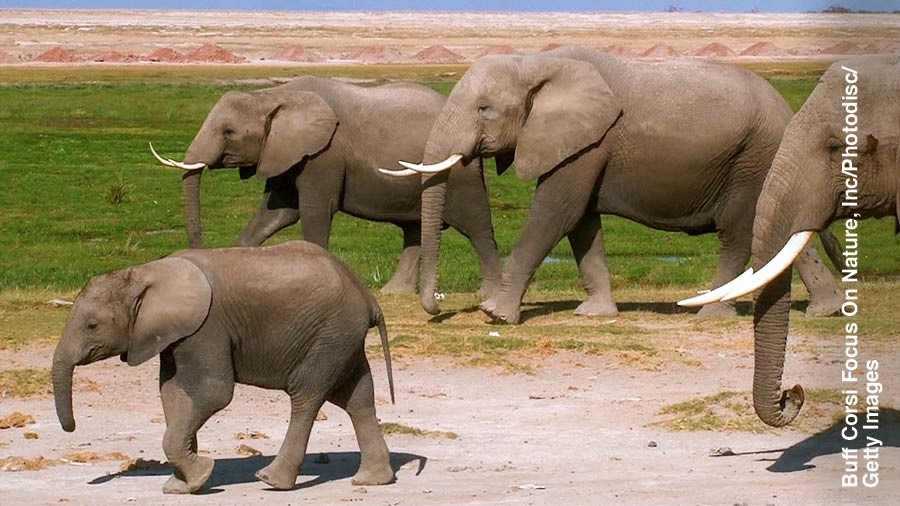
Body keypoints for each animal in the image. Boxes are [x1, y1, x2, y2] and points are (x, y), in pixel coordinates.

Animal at [52, 241, 396, 493]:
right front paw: (184, 486)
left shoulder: (207, 328)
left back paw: (272, 481)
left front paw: (200, 475)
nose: (71, 427)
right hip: (341, 338)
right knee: (357, 398)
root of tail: (367, 296)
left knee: (305, 395)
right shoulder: (175, 335)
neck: (147, 271)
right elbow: (171, 393)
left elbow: (211, 393)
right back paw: (372, 480)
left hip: (330, 334)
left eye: (92, 325)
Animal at [150, 76, 500, 295]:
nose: (197, 252)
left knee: (475, 225)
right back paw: (394, 293)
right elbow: (275, 214)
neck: (274, 95)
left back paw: (486, 292)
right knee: (414, 230)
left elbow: (314, 212)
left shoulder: (324, 155)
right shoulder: (287, 152)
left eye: (229, 132)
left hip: (461, 172)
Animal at [383, 45, 842, 324]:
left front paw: (495, 315)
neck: (534, 61)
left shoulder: (588, 143)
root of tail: (787, 110)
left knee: (737, 234)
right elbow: (582, 223)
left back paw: (713, 314)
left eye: (484, 109)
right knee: (779, 233)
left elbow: (556, 213)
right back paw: (826, 311)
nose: (437, 306)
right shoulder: (582, 145)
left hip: (752, 157)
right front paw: (595, 314)